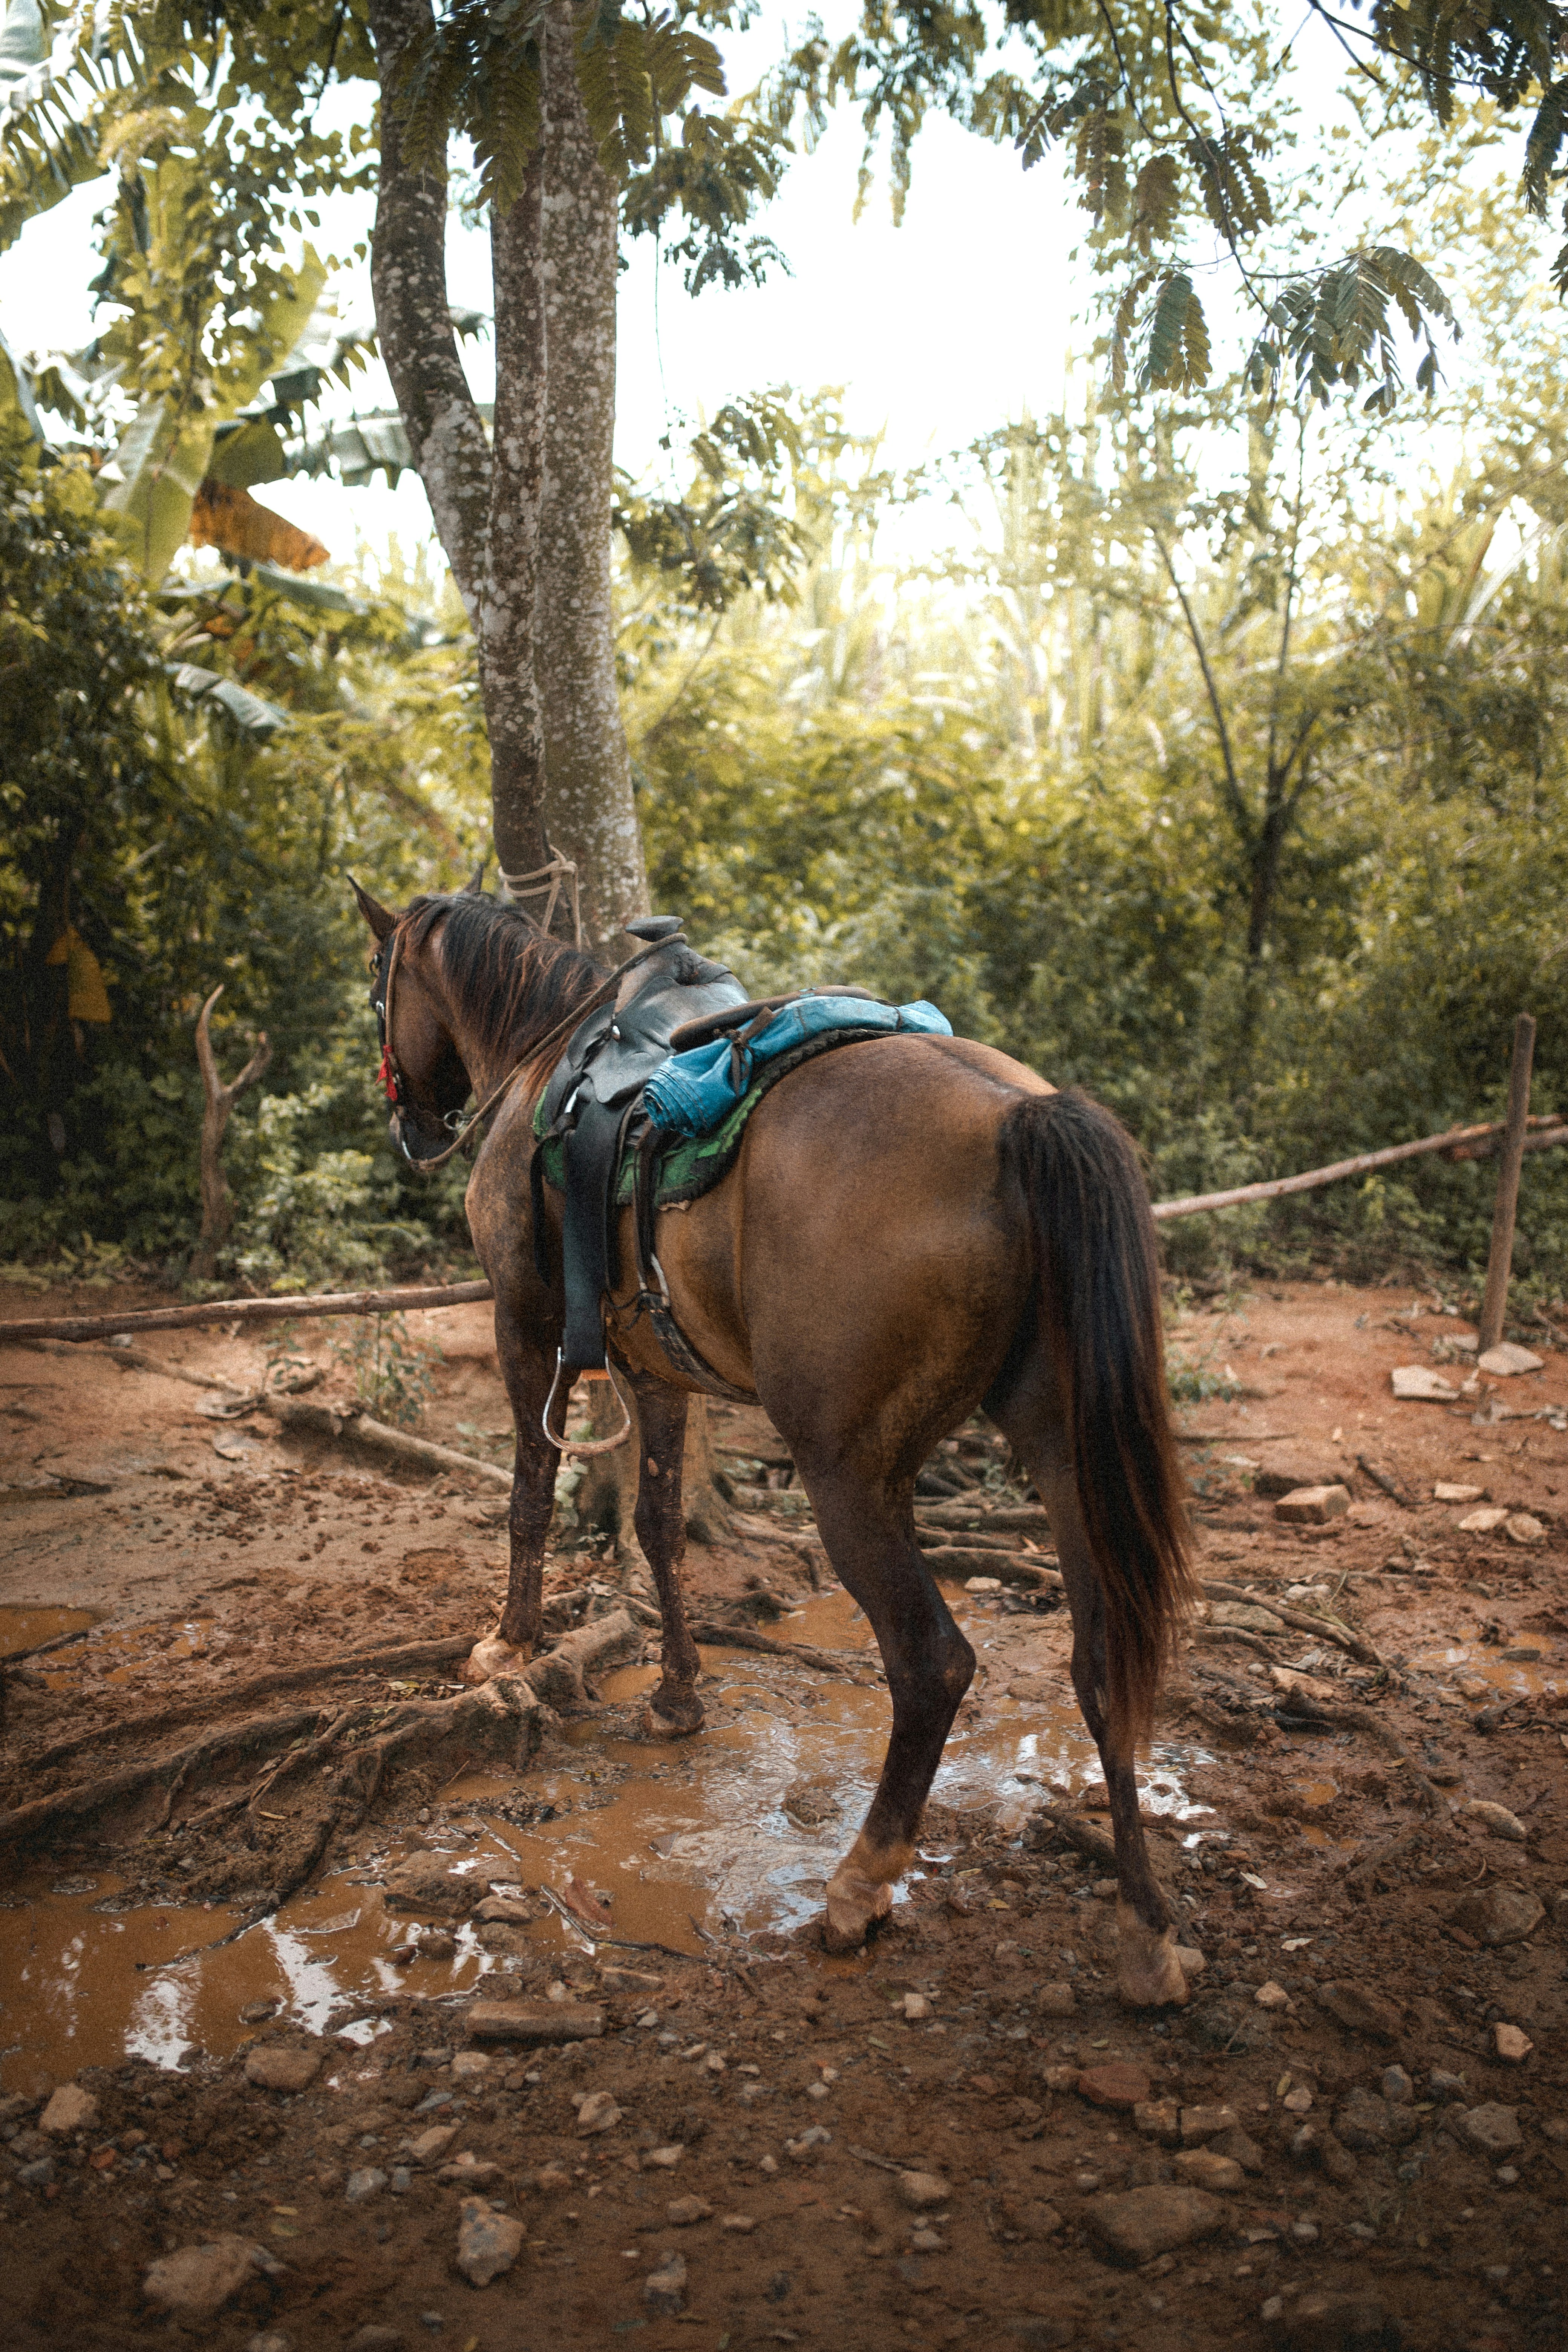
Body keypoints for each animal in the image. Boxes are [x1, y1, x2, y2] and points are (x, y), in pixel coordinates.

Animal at [350, 878, 1197, 2005]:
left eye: (380, 980)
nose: (409, 1120)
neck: (545, 1052)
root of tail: (1016, 1115)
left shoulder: (522, 1326)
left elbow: (530, 1491)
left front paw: (511, 1646)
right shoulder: (656, 1370)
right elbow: (660, 1525)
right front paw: (677, 1694)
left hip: (848, 1472)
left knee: (932, 1664)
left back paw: (859, 1885)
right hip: (1062, 1454)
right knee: (1103, 1665)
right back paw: (1144, 1930)